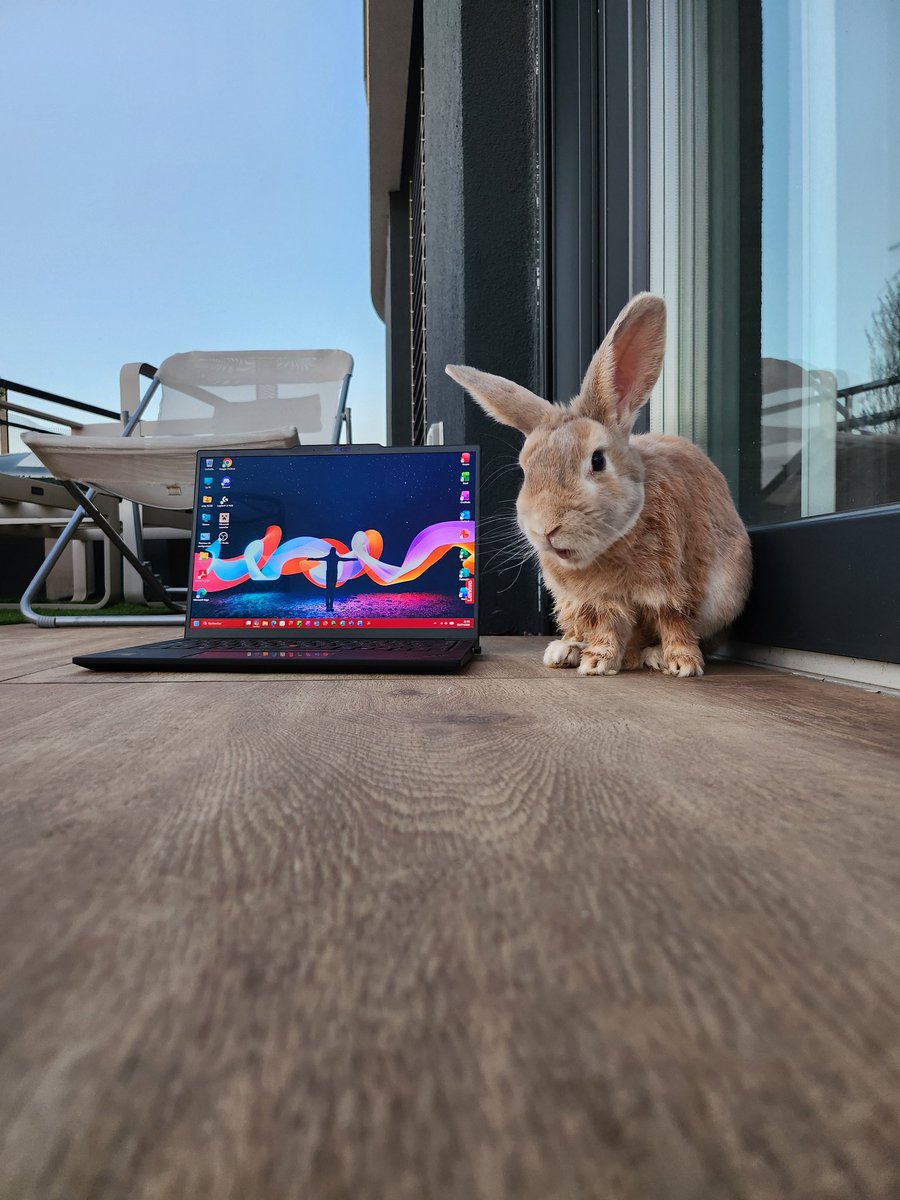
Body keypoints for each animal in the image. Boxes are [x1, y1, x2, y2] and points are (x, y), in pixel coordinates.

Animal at [445, 293, 751, 677]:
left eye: (597, 461)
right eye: (525, 468)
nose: (546, 529)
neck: (611, 545)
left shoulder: (677, 587)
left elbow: (675, 622)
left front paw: (683, 664)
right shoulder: (598, 600)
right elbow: (606, 627)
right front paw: (596, 662)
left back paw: (652, 656)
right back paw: (566, 651)